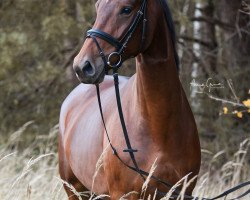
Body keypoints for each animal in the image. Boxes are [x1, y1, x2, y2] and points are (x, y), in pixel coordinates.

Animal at [58, 0, 201, 199]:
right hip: (75, 190)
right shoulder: (123, 193)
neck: (157, 126)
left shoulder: (181, 192)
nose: (83, 66)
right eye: (97, 7)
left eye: (126, 9)